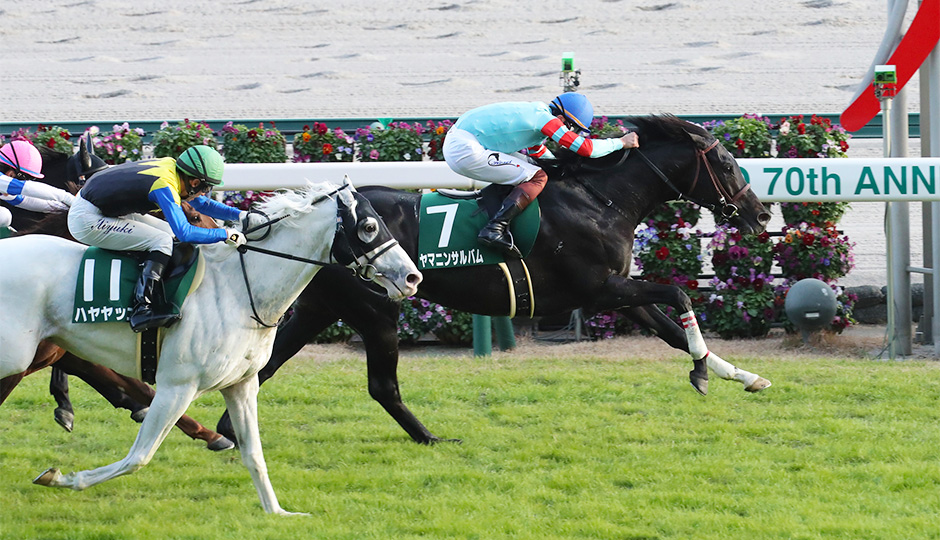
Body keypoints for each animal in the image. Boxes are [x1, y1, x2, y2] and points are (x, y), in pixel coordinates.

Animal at [0, 179, 422, 514]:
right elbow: (139, 455)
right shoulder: (177, 386)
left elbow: (253, 453)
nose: (412, 277)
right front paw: (60, 477)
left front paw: (279, 512)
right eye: (369, 226)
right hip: (16, 357)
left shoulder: (241, 384)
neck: (238, 288)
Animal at [216, 115, 774, 445]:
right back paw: (430, 438)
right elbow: (679, 293)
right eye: (727, 164)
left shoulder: (618, 290)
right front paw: (702, 376)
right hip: (376, 307)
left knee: (268, 365)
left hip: (322, 304)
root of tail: (319, 219)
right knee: (381, 385)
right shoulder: (599, 291)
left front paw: (743, 376)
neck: (599, 201)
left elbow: (674, 331)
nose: (760, 214)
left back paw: (228, 430)